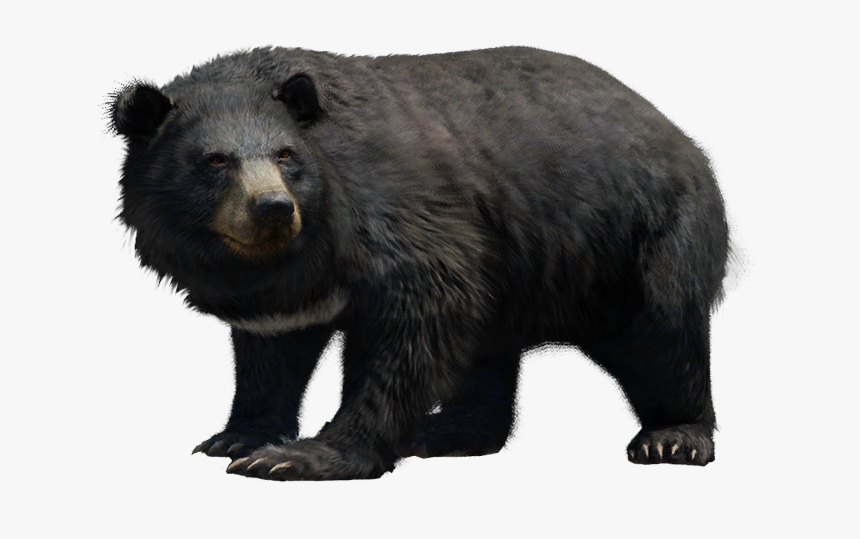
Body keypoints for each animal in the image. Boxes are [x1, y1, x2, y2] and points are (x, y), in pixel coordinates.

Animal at [109, 46, 729, 481]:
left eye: (285, 155)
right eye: (214, 160)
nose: (273, 209)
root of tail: (675, 130)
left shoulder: (399, 211)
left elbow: (423, 310)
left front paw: (302, 456)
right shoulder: (283, 290)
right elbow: (270, 351)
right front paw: (235, 437)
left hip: (639, 236)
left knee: (662, 331)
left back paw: (673, 435)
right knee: (485, 353)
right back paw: (447, 430)